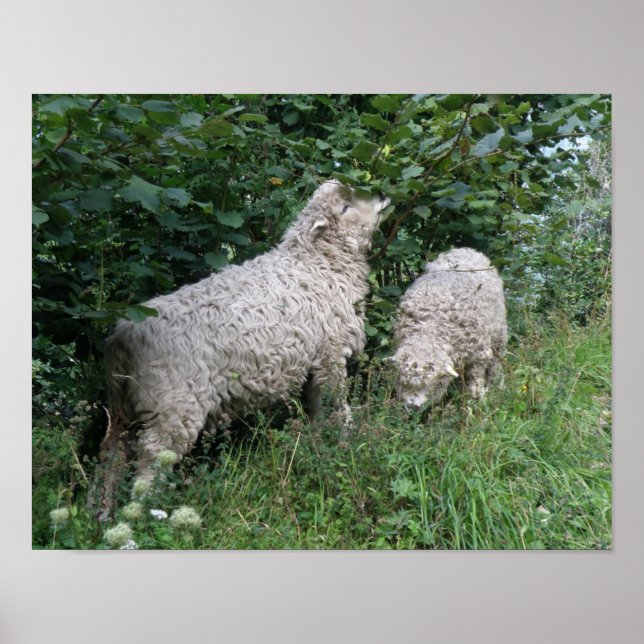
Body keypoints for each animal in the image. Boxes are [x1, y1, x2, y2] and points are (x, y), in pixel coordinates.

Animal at [91, 180, 389, 516]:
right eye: (345, 207)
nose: (381, 195)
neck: (317, 263)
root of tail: (122, 336)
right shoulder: (331, 354)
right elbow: (336, 404)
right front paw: (347, 438)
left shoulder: (314, 360)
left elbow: (315, 407)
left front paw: (317, 441)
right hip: (173, 406)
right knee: (152, 455)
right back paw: (145, 511)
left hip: (122, 407)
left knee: (111, 453)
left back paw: (99, 511)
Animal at [390, 247, 507, 409]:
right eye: (403, 380)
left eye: (432, 383)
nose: (413, 406)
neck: (429, 329)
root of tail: (465, 249)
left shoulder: (479, 355)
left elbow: (476, 382)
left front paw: (478, 401)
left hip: (499, 333)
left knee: (496, 360)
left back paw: (497, 384)